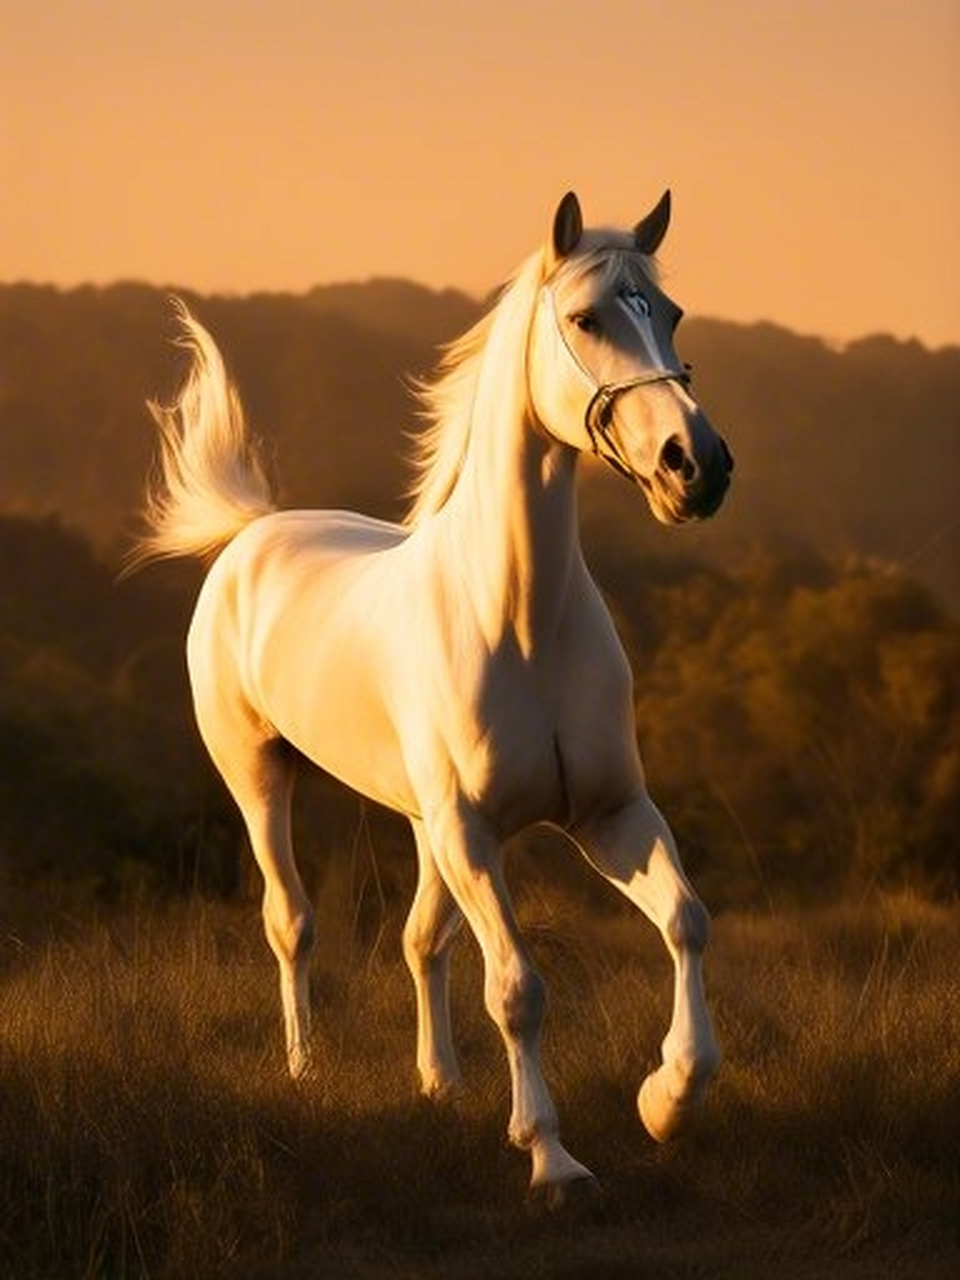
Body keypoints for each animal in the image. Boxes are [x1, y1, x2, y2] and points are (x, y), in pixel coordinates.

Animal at [134, 190, 733, 1206]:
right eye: (587, 318)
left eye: (672, 312)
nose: (697, 466)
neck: (521, 617)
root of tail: (253, 532)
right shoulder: (475, 834)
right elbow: (519, 989)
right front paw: (553, 1158)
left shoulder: (608, 816)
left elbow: (685, 923)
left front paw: (668, 1102)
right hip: (261, 781)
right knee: (292, 923)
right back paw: (307, 1067)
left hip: (425, 826)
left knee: (423, 941)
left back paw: (440, 1083)